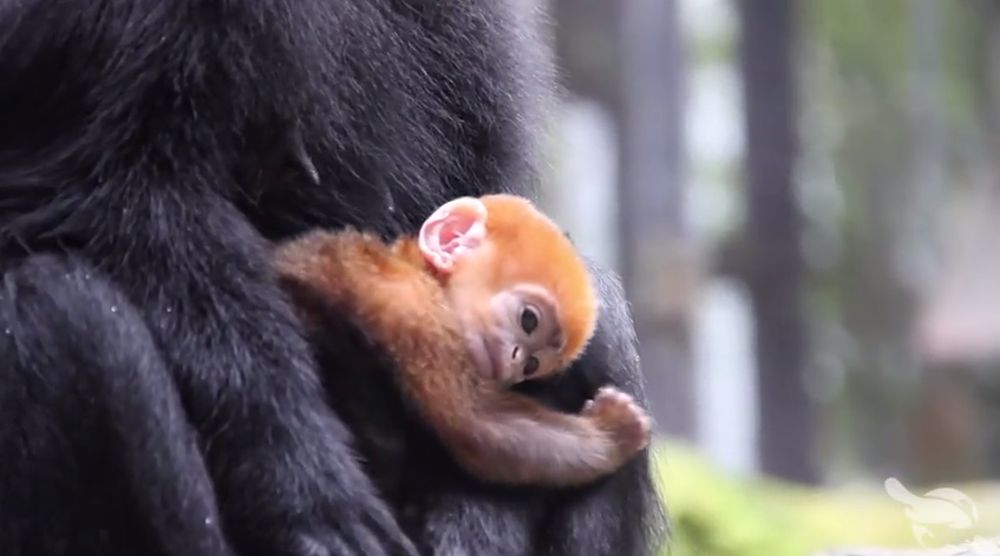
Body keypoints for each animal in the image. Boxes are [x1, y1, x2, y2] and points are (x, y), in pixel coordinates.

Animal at [276, 194, 648, 486]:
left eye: (531, 365)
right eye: (528, 319)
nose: (514, 362)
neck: (418, 272)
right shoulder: (415, 307)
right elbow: (475, 423)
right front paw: (614, 430)